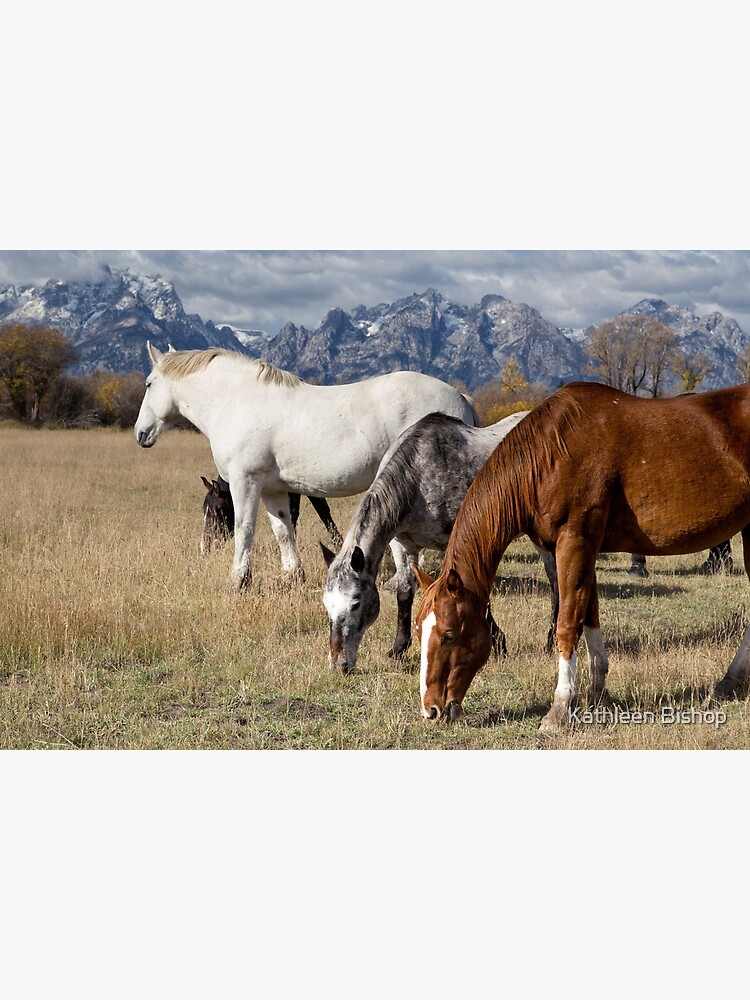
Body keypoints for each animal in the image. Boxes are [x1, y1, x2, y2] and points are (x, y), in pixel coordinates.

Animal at [320, 410, 559, 673]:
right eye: (326, 604)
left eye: (356, 602)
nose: (338, 664)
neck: (418, 478)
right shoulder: (402, 546)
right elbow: (404, 595)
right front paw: (399, 648)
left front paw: (497, 643)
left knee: (556, 580)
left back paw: (551, 640)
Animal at [414, 380, 750, 731]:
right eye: (418, 632)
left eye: (449, 635)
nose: (431, 709)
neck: (551, 453)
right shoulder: (583, 548)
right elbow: (589, 616)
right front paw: (597, 692)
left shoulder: (574, 542)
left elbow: (567, 624)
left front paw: (560, 708)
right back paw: (727, 685)